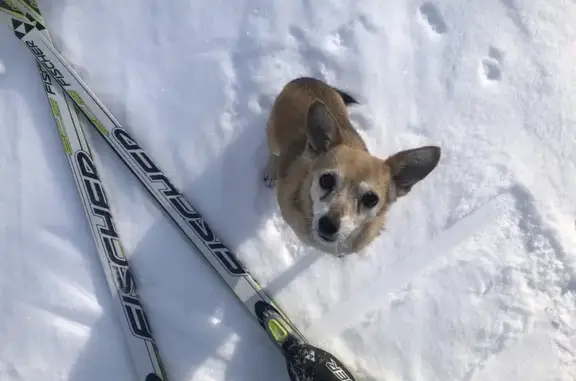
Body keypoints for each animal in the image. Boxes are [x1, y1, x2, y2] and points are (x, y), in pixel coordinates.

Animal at [264, 75, 438, 256]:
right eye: (325, 180)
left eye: (371, 199)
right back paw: (271, 171)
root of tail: (306, 79)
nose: (328, 225)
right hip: (272, 138)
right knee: (273, 153)